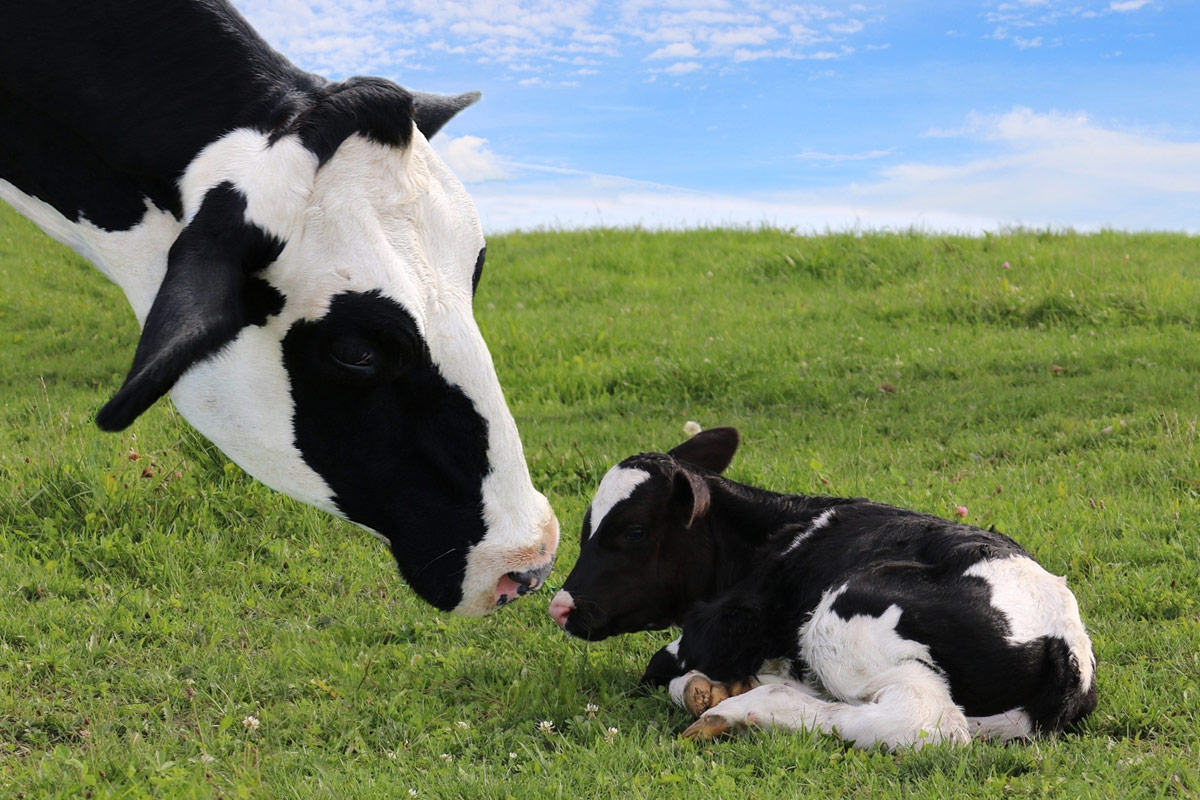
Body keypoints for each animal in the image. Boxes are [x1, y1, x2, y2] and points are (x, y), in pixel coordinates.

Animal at [549, 427, 1097, 749]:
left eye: (634, 532)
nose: (560, 606)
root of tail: (1063, 644)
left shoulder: (719, 629)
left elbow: (661, 667)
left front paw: (709, 688)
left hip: (844, 619)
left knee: (921, 721)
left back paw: (741, 708)